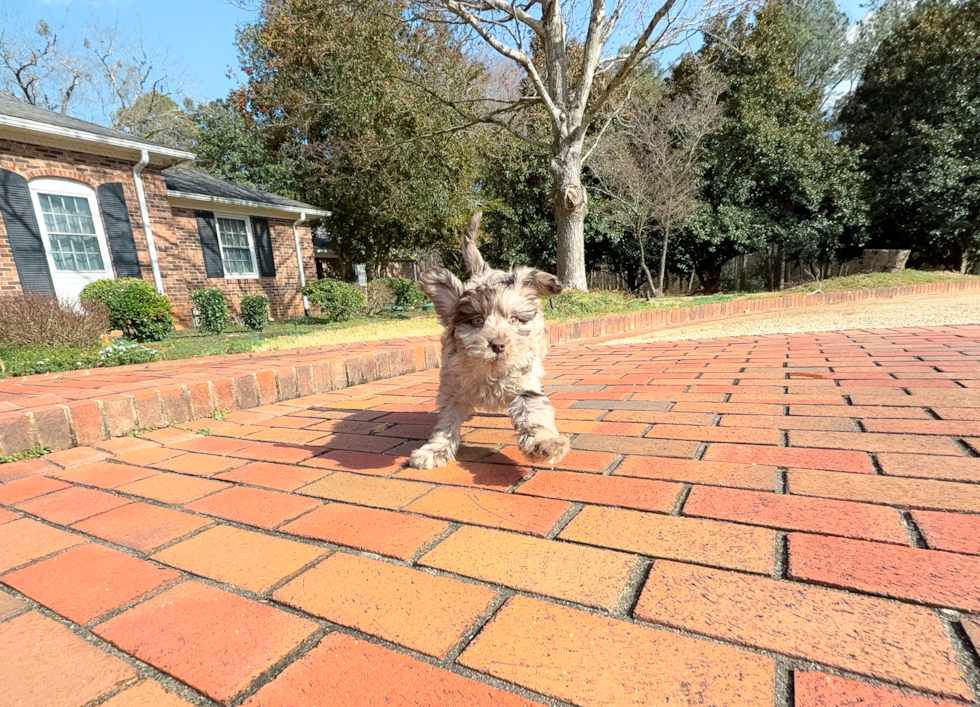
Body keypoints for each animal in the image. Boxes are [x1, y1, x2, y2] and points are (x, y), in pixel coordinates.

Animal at [408, 213, 576, 472]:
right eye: (478, 321)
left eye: (514, 320)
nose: (497, 344)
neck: (490, 371)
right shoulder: (452, 389)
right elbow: (447, 423)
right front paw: (435, 451)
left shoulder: (523, 385)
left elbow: (533, 414)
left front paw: (545, 444)